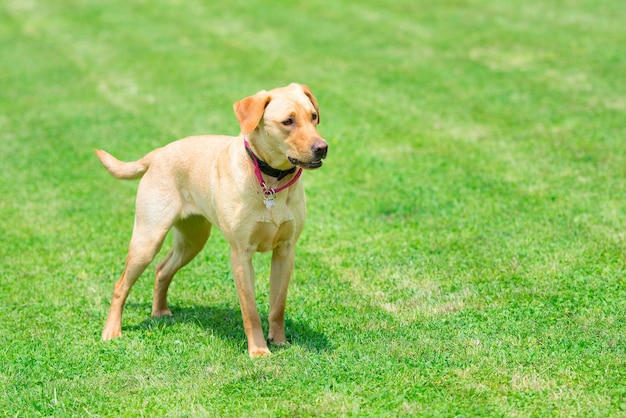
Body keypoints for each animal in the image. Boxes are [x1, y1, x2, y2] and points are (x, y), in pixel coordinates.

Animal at [97, 84, 326, 356]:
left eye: (313, 116)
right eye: (288, 121)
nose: (322, 148)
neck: (270, 180)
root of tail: (159, 153)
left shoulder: (285, 250)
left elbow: (278, 304)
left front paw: (279, 341)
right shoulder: (240, 254)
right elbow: (250, 311)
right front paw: (259, 351)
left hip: (192, 240)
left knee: (162, 269)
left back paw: (160, 312)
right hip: (148, 238)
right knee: (121, 285)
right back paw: (112, 331)